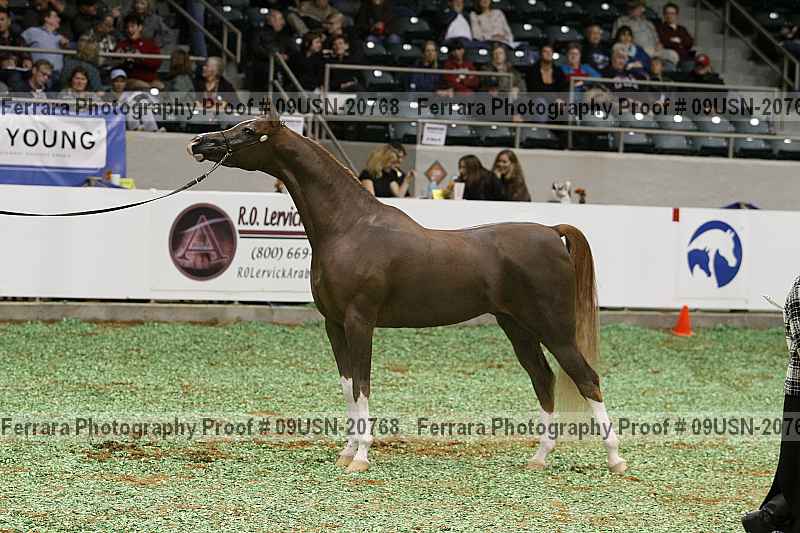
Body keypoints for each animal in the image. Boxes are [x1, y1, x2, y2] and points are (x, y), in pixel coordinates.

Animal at [187, 114, 627, 475]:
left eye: (248, 131)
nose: (199, 143)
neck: (349, 227)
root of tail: (552, 231)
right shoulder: (334, 325)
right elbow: (348, 385)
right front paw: (346, 452)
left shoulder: (360, 322)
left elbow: (363, 384)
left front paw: (361, 457)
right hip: (517, 327)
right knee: (544, 379)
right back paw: (539, 457)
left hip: (554, 327)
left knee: (586, 378)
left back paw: (615, 459)